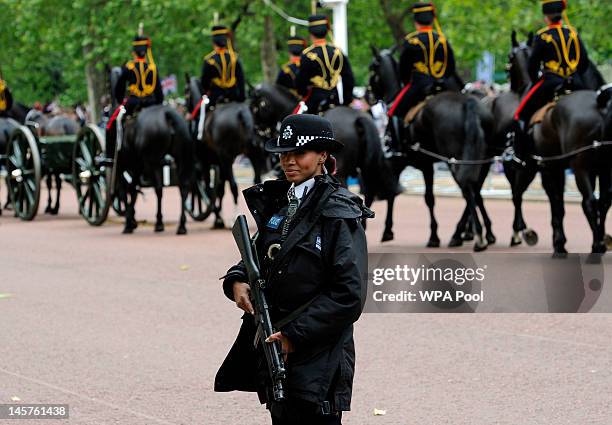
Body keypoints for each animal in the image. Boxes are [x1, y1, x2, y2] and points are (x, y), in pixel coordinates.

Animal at [184, 76, 256, 229]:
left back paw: (235, 216)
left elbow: (209, 189)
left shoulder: (205, 162)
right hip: (252, 155)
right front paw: (219, 217)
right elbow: (221, 190)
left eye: (186, 91)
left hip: (226, 158)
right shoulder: (219, 163)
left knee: (233, 185)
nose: (187, 114)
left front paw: (218, 217)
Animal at [250, 83, 400, 242]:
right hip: (370, 166)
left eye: (254, 107)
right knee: (381, 190)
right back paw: (384, 231)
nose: (255, 137)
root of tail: (358, 117)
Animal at [366, 47, 494, 248]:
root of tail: (469, 103)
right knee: (476, 190)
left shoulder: (399, 162)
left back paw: (474, 235)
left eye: (373, 68)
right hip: (480, 160)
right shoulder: (426, 164)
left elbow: (404, 193)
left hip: (453, 161)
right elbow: (425, 196)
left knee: (468, 190)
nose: (367, 94)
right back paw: (481, 232)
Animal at [504, 32, 608, 255]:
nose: (510, 84)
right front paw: (557, 240)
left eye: (509, 57)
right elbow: (557, 203)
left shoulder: (536, 166)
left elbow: (539, 199)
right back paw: (601, 241)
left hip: (577, 166)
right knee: (604, 200)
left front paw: (528, 233)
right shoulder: (554, 166)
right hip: (602, 167)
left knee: (589, 201)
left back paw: (597, 245)